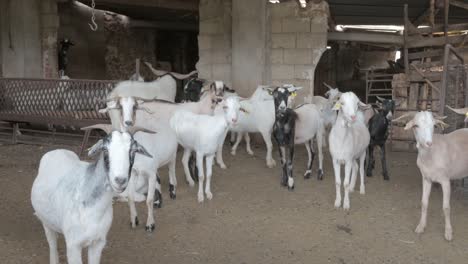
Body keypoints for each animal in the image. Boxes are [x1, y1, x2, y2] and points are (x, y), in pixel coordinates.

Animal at [30, 127, 152, 262]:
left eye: (133, 150)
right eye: (105, 149)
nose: (120, 180)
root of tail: (57, 150)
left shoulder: (98, 242)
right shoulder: (73, 246)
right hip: (46, 222)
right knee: (52, 245)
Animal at [394, 110, 466, 240]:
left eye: (434, 126)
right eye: (416, 125)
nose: (429, 143)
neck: (431, 155)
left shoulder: (445, 180)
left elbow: (446, 207)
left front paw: (448, 232)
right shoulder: (426, 178)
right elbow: (424, 203)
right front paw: (421, 226)